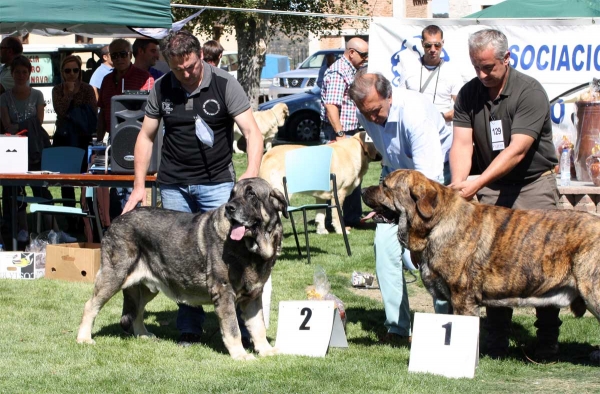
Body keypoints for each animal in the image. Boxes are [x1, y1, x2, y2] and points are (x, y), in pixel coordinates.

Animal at [360, 169, 600, 360]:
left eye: (385, 186)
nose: (361, 190)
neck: (436, 223)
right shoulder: (450, 298)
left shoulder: (462, 297)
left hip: (593, 292)